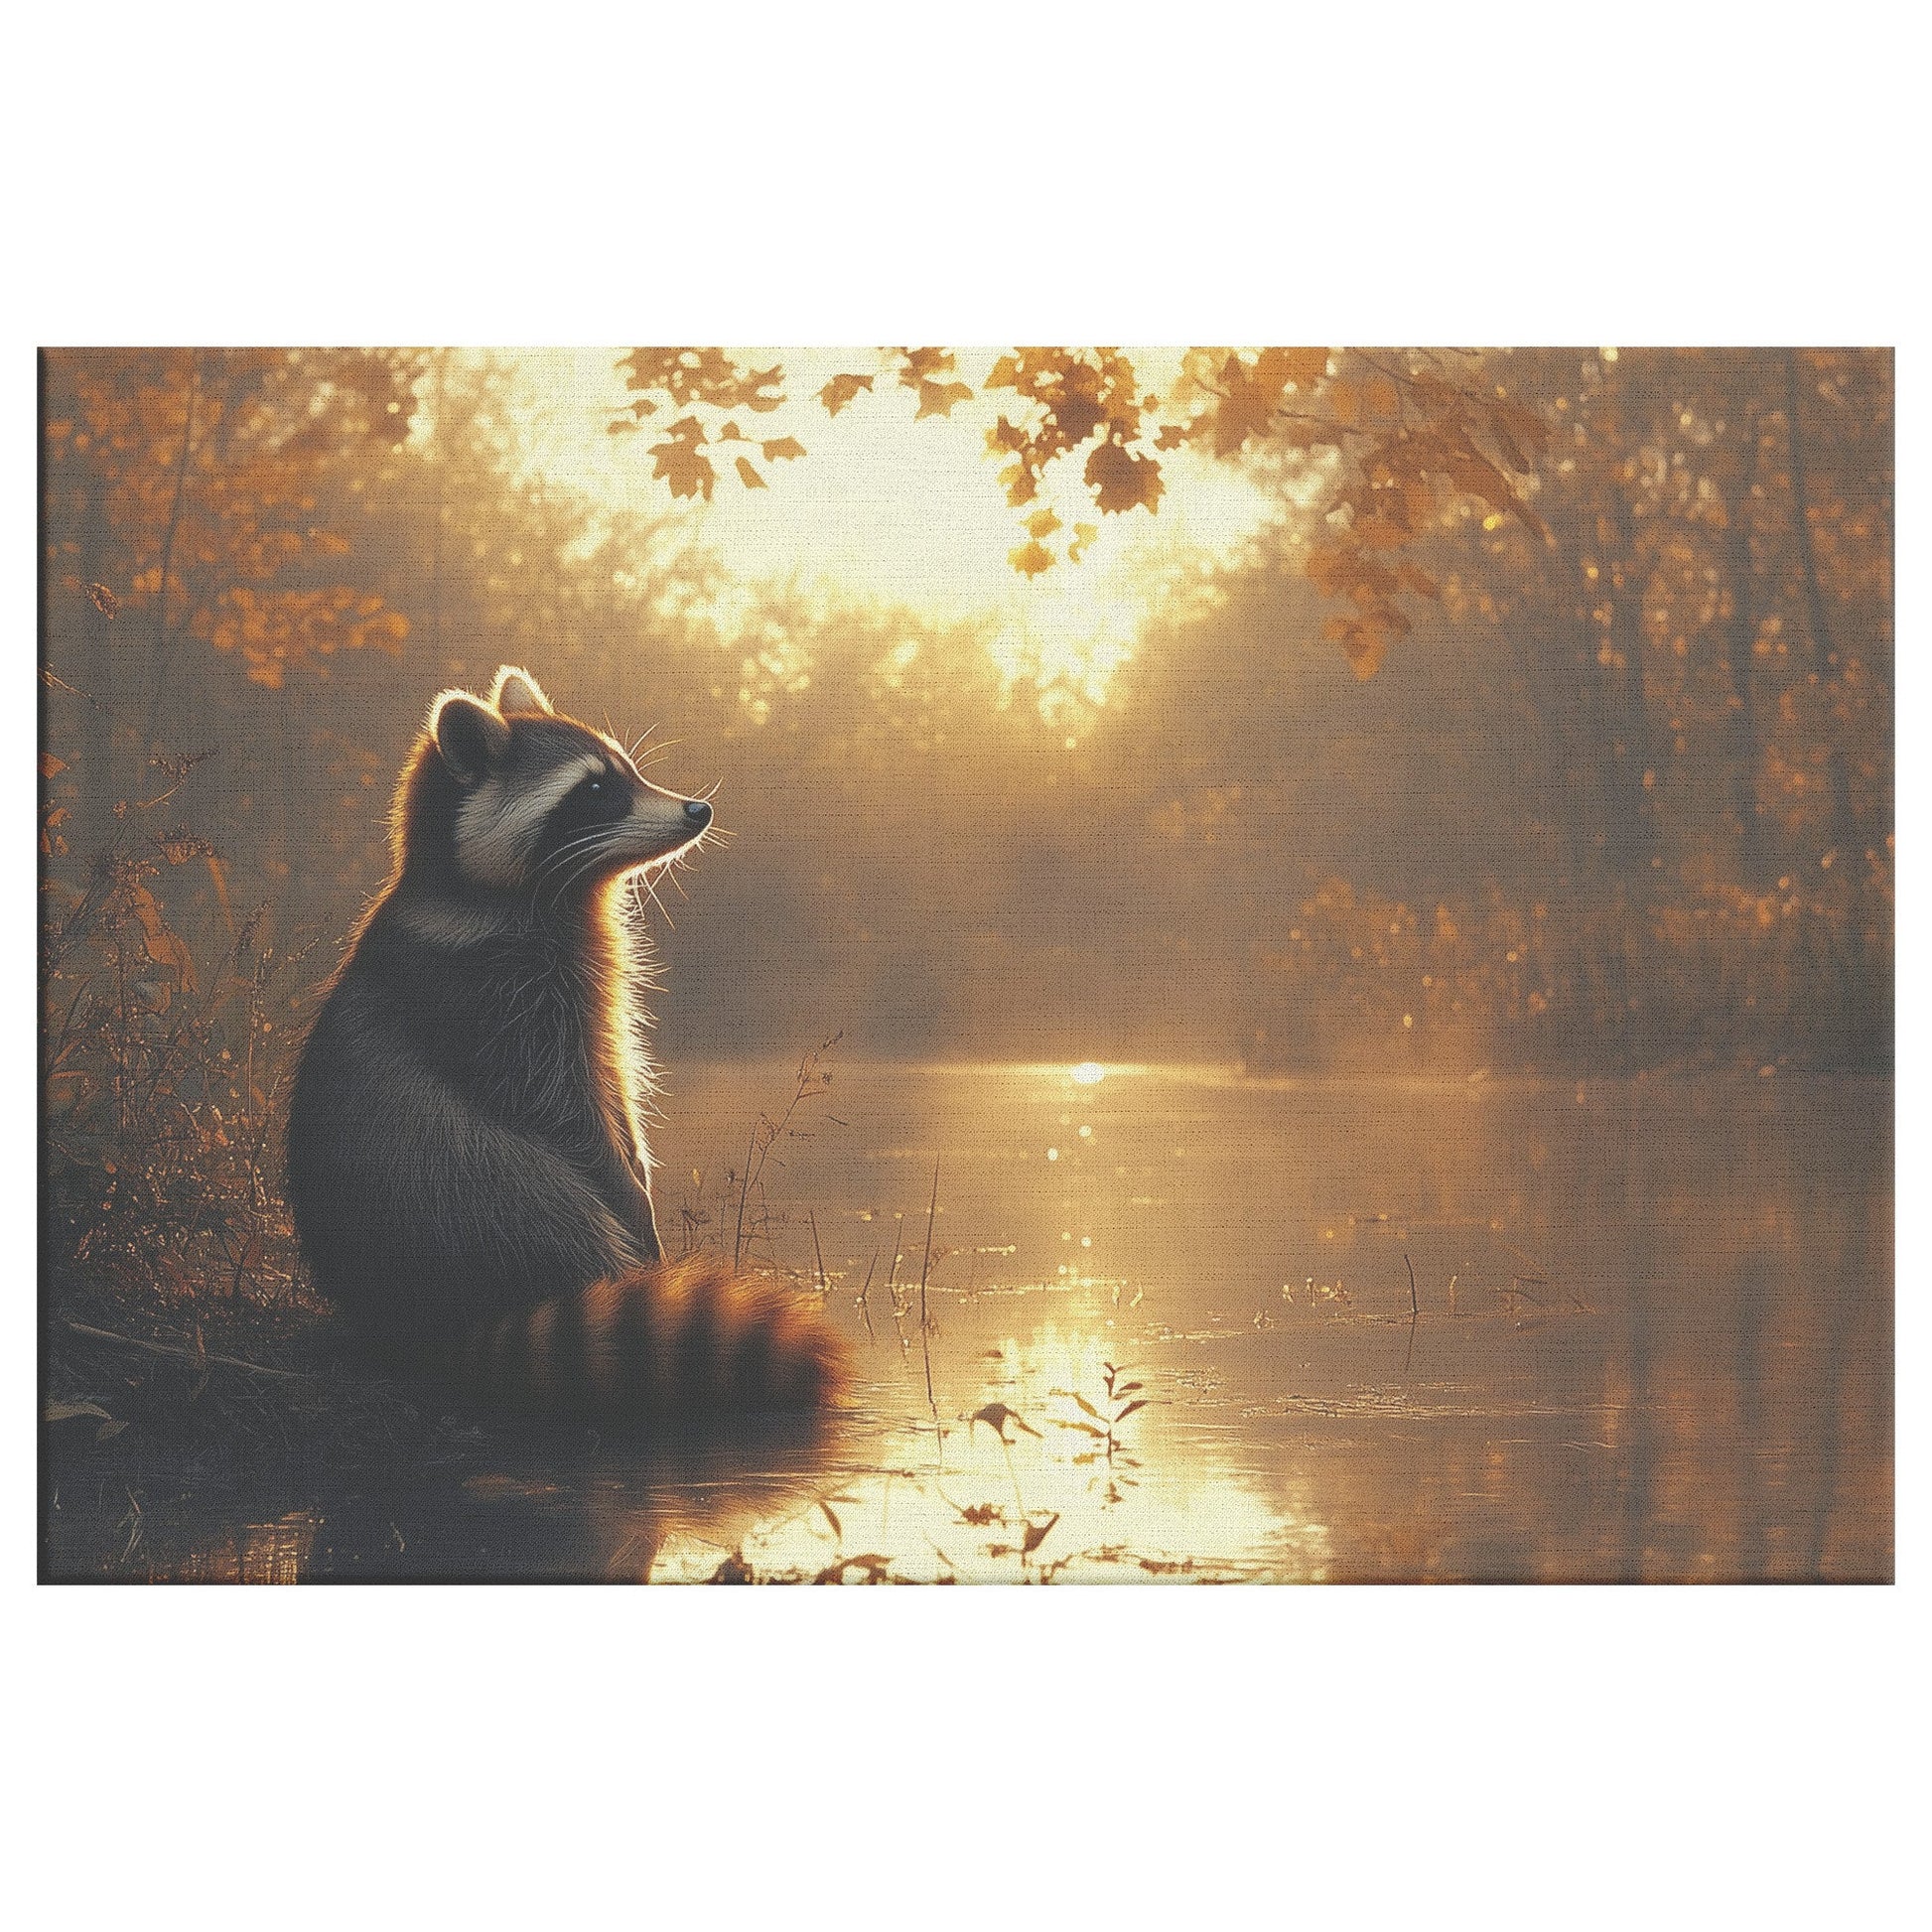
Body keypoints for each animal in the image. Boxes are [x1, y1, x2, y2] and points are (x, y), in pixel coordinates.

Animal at [285, 665, 843, 1426]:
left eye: (629, 773)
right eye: (596, 790)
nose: (697, 810)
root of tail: (418, 1322)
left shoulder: (588, 991)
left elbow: (616, 1090)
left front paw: (640, 1168)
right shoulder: (494, 1000)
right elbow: (568, 1118)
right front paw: (632, 1202)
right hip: (470, 1197)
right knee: (518, 1174)